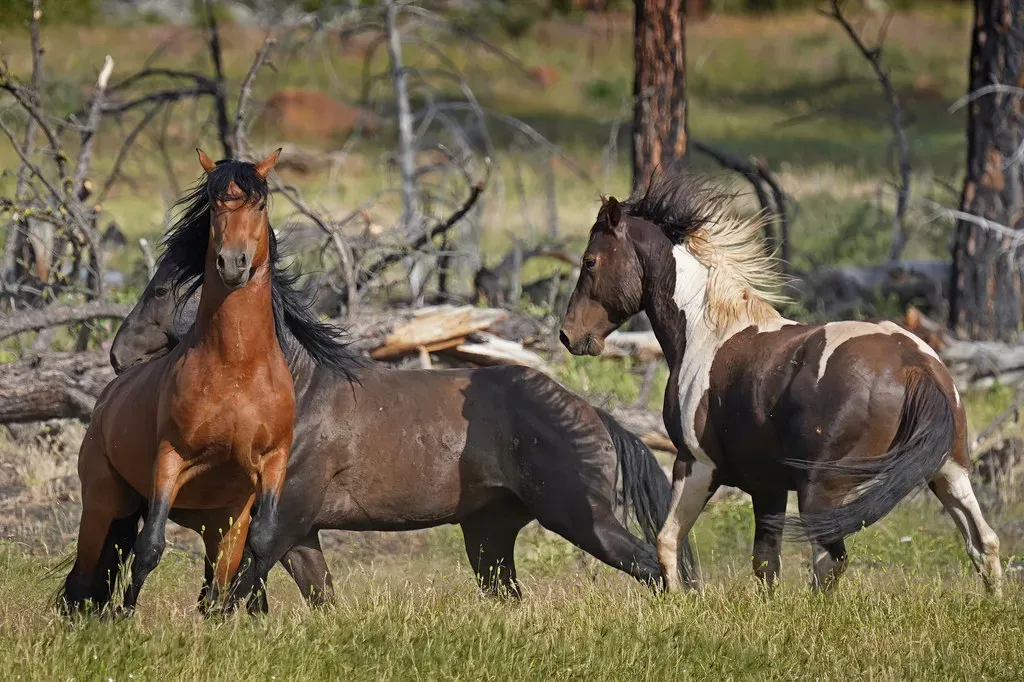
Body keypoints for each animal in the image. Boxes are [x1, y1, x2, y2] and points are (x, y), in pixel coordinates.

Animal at [59, 149, 362, 615]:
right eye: (216, 205)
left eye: (260, 205)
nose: (233, 263)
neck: (236, 369)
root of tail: (107, 399)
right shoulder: (170, 460)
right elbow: (150, 548)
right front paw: (124, 618)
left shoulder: (270, 467)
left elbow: (255, 553)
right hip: (104, 499)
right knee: (83, 580)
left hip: (216, 521)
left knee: (208, 585)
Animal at [108, 260, 694, 609]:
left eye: (161, 289)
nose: (117, 354)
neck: (300, 392)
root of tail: (595, 415)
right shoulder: (301, 533)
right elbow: (317, 598)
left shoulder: (286, 520)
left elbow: (235, 593)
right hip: (489, 535)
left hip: (579, 517)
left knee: (651, 566)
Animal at [559, 171, 1002, 595]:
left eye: (590, 261)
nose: (568, 335)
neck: (706, 332)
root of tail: (915, 365)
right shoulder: (767, 485)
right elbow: (765, 564)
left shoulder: (696, 462)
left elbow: (668, 540)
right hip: (948, 471)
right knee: (983, 543)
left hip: (823, 489)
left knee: (829, 562)